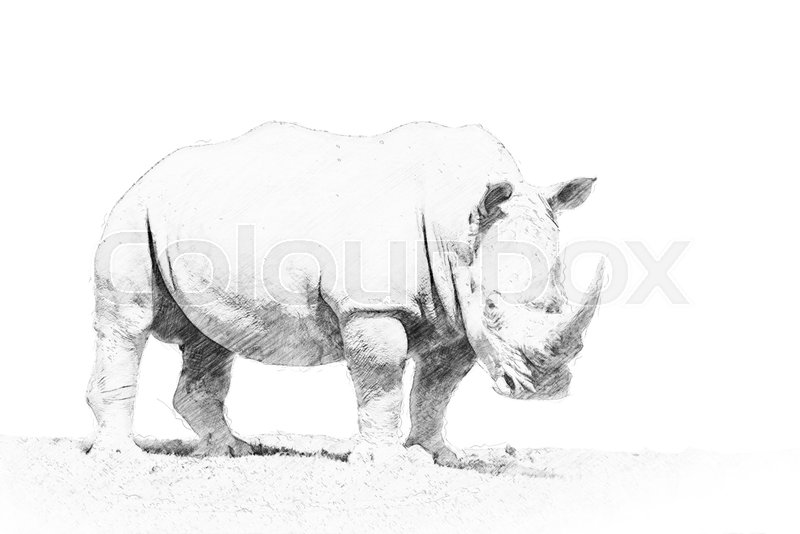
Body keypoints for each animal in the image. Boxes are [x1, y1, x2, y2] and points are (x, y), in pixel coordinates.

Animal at [88, 122, 603, 466]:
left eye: (560, 303)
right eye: (493, 307)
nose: (545, 390)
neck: (459, 225)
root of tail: (147, 174)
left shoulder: (458, 313)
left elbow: (438, 387)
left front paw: (439, 456)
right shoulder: (372, 307)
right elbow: (382, 380)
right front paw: (387, 463)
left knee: (210, 340)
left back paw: (233, 451)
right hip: (132, 211)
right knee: (128, 322)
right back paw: (121, 458)